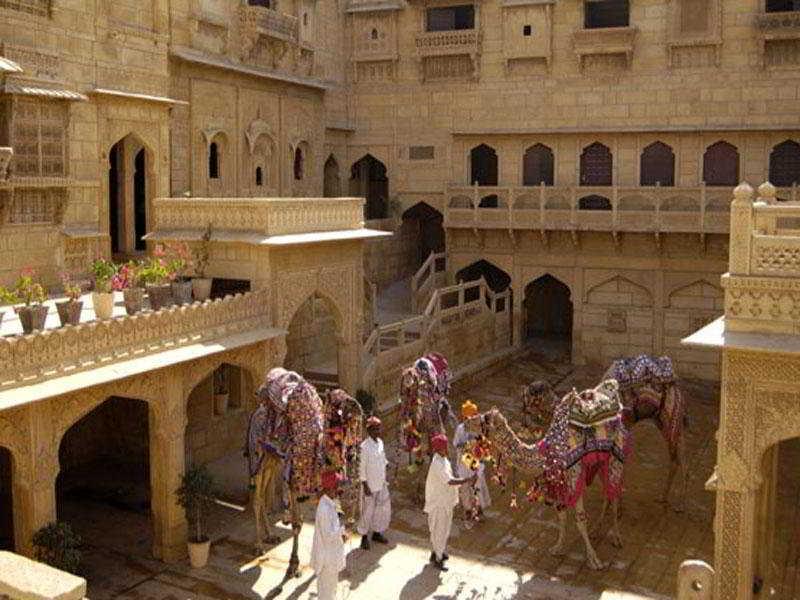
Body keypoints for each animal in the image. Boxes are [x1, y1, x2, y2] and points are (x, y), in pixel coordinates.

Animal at [245, 368, 364, 580]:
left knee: (265, 490)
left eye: (346, 396)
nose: (357, 406)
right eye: (337, 401)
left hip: (272, 459)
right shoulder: (294, 484)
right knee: (257, 497)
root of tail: (257, 411)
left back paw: (270, 535)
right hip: (257, 452)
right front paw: (293, 565)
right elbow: (297, 524)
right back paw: (258, 545)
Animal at [468, 378, 632, 568]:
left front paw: (594, 560)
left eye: (485, 419)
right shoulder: (557, 481)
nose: (467, 421)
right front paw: (558, 547)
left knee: (613, 491)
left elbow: (580, 519)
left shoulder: (573, 477)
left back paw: (616, 537)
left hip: (615, 456)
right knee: (607, 491)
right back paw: (597, 529)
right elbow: (561, 513)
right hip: (598, 461)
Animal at [520, 352, 684, 510]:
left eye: (533, 397)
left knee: (679, 460)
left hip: (670, 420)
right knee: (675, 459)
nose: (524, 417)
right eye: (526, 398)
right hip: (661, 421)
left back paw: (674, 502)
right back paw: (665, 498)